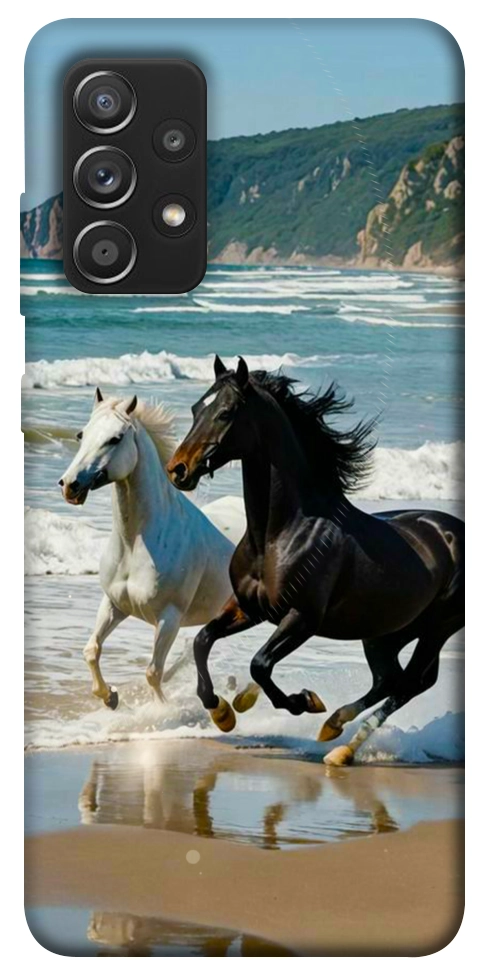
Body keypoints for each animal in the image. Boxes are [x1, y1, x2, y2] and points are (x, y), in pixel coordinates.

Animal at [59, 388, 234, 709]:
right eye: (81, 434)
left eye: (115, 438)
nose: (70, 485)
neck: (135, 544)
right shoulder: (114, 604)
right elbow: (91, 650)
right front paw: (110, 697)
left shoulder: (169, 618)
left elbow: (153, 672)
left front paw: (161, 711)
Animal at [166, 356, 464, 765]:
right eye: (197, 408)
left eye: (226, 412)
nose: (177, 469)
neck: (279, 534)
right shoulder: (248, 608)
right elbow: (202, 640)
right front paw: (223, 711)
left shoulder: (302, 618)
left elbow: (260, 664)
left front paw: (303, 701)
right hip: (386, 632)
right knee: (390, 679)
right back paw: (334, 729)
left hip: (437, 628)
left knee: (410, 683)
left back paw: (341, 746)